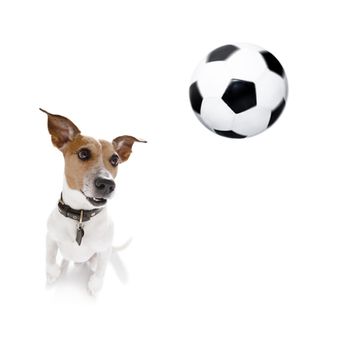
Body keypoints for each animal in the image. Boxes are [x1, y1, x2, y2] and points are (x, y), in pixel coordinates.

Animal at [42, 108, 146, 294]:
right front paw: (52, 275)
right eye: (83, 154)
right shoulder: (51, 238)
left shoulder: (104, 250)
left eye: (115, 160)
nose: (107, 184)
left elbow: (101, 271)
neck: (81, 215)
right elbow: (50, 260)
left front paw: (95, 285)